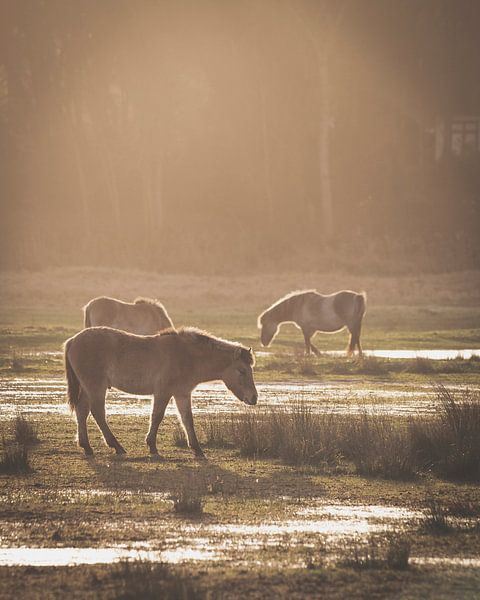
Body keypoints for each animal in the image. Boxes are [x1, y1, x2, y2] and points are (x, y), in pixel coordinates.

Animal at [65, 326, 258, 458]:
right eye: (242, 371)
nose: (254, 398)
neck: (186, 356)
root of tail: (73, 340)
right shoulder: (163, 392)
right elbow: (157, 416)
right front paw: (152, 446)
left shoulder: (182, 394)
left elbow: (187, 420)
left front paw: (197, 449)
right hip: (95, 386)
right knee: (97, 413)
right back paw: (116, 446)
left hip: (88, 388)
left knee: (82, 412)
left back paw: (87, 447)